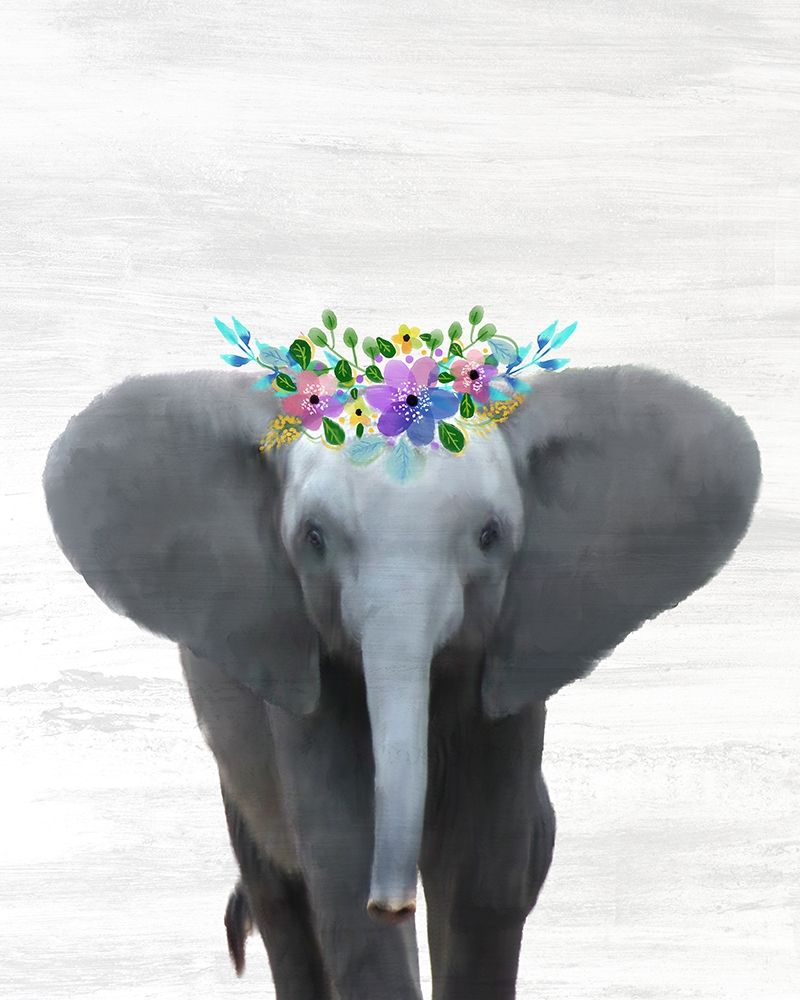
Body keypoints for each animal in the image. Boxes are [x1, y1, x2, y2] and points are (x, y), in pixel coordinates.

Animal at [42, 362, 761, 1000]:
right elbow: (342, 870)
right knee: (280, 898)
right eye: (313, 538)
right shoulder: (307, 670)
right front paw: (372, 908)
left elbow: (482, 880)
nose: (392, 903)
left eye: (490, 536)